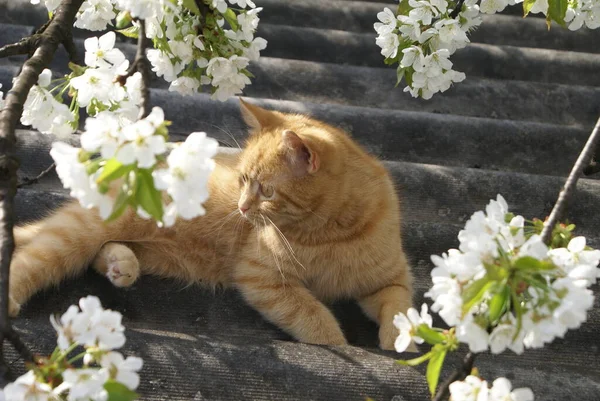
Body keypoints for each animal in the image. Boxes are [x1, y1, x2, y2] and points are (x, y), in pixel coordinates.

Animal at [10, 100, 412, 350]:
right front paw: (339, 342)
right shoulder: (263, 279)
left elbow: (400, 308)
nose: (242, 208)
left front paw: (399, 340)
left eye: (266, 190)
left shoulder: (392, 278)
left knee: (98, 253)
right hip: (82, 231)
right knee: (31, 259)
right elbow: (315, 319)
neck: (332, 233)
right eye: (242, 180)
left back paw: (120, 264)